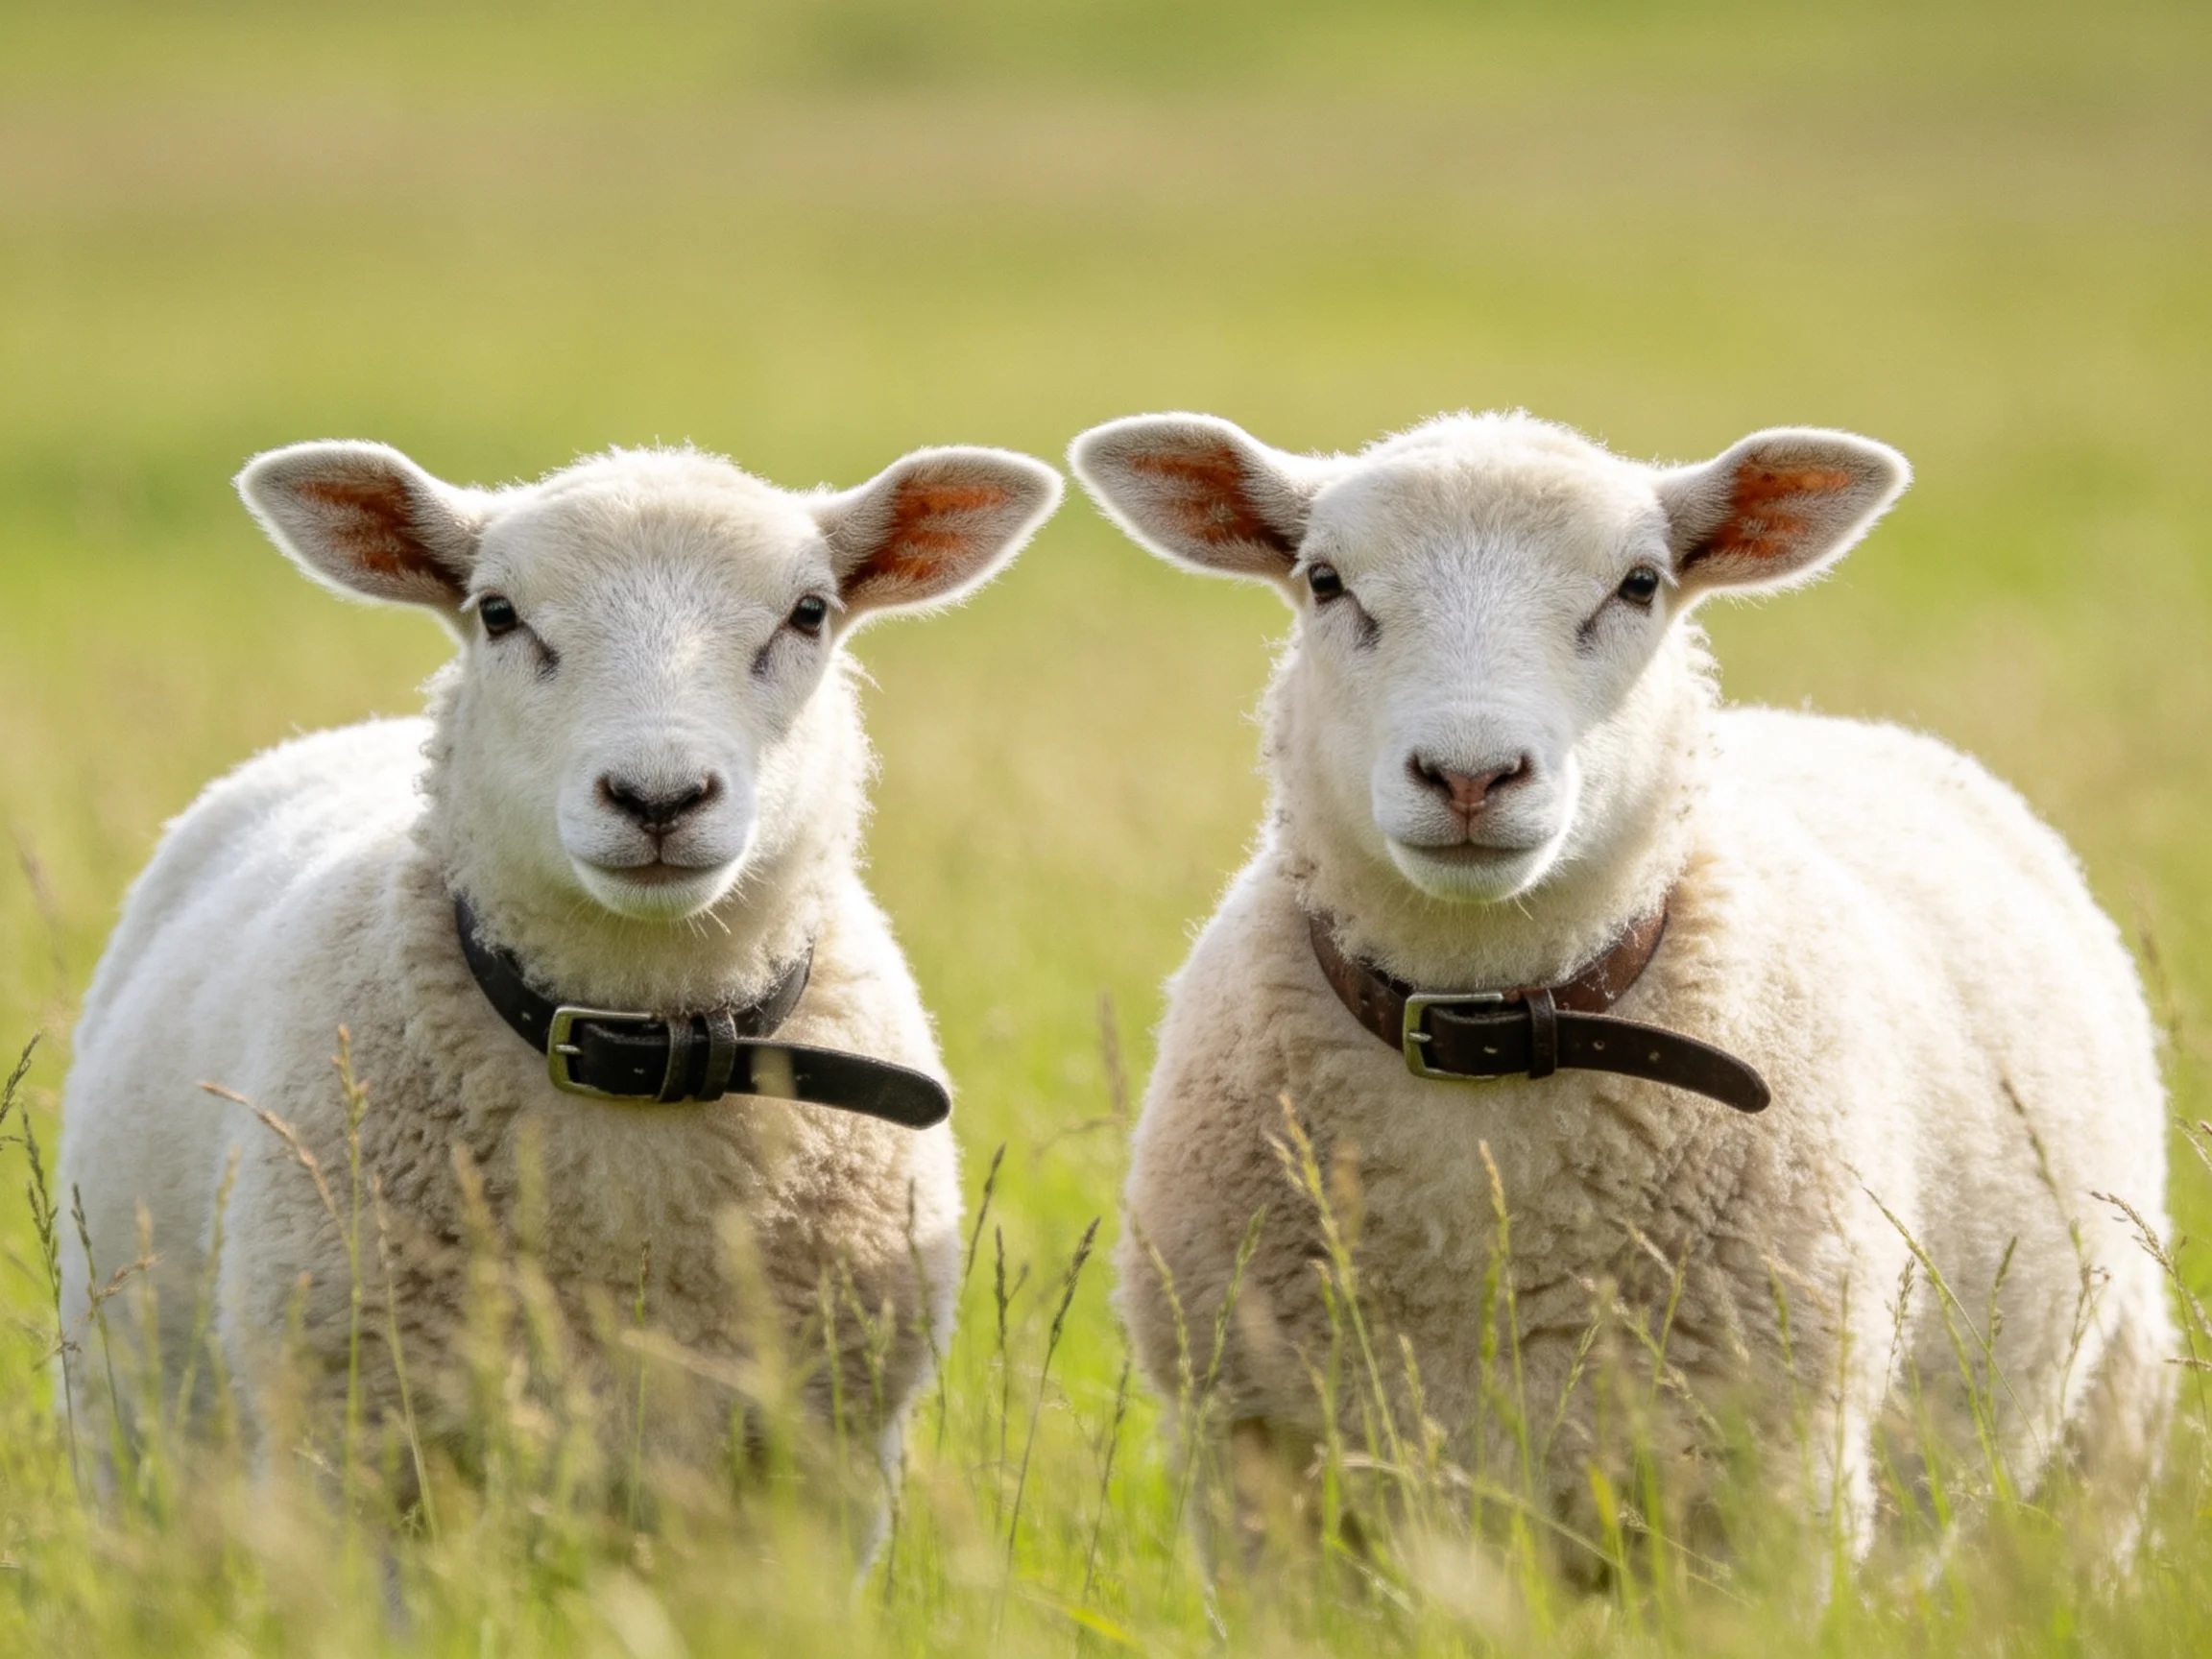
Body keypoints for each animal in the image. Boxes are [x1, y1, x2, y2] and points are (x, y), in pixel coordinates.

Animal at [58, 437, 1062, 1515]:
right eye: (499, 613)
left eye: (808, 612)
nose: (658, 796)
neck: (644, 1048)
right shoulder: (351, 1450)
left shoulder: (827, 1465)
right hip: (122, 1397)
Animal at [1069, 409, 2173, 1569]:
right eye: (1325, 580)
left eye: (1639, 584)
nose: (1470, 775)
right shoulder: (1257, 1478)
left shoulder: (1775, 1489)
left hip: (2110, 1405)